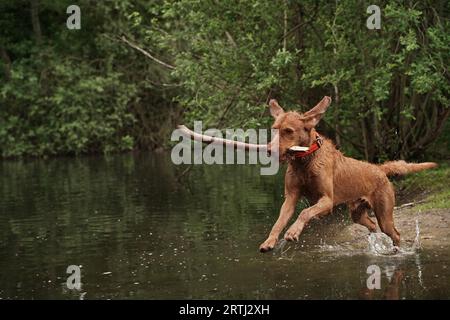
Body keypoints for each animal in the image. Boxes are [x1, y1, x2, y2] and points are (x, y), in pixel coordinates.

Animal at [258, 95, 438, 252]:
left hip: (384, 213)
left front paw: (292, 232)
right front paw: (269, 241)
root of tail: (379, 169)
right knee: (373, 225)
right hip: (357, 213)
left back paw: (396, 251)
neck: (304, 161)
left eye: (288, 131)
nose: (269, 150)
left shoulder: (327, 201)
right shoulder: (291, 197)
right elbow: (278, 222)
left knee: (395, 234)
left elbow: (304, 212)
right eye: (274, 130)